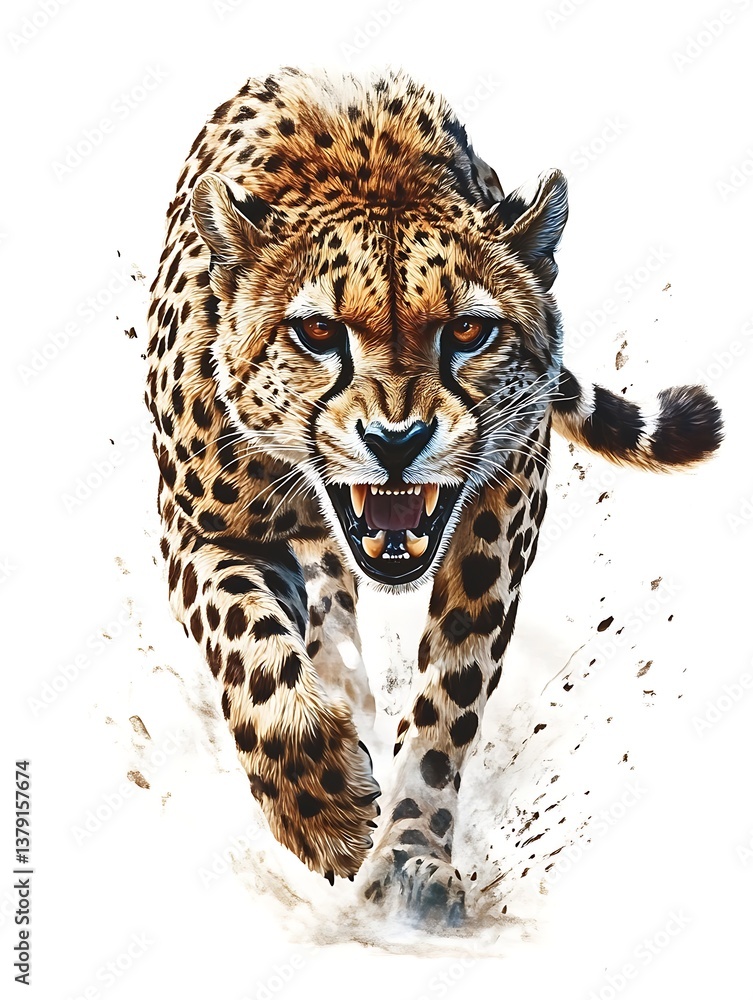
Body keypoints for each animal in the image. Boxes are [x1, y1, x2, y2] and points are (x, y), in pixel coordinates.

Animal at [145, 66, 722, 927]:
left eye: (469, 333)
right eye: (318, 334)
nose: (397, 439)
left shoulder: (501, 506)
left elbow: (450, 696)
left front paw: (409, 854)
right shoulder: (201, 528)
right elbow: (250, 651)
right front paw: (326, 812)